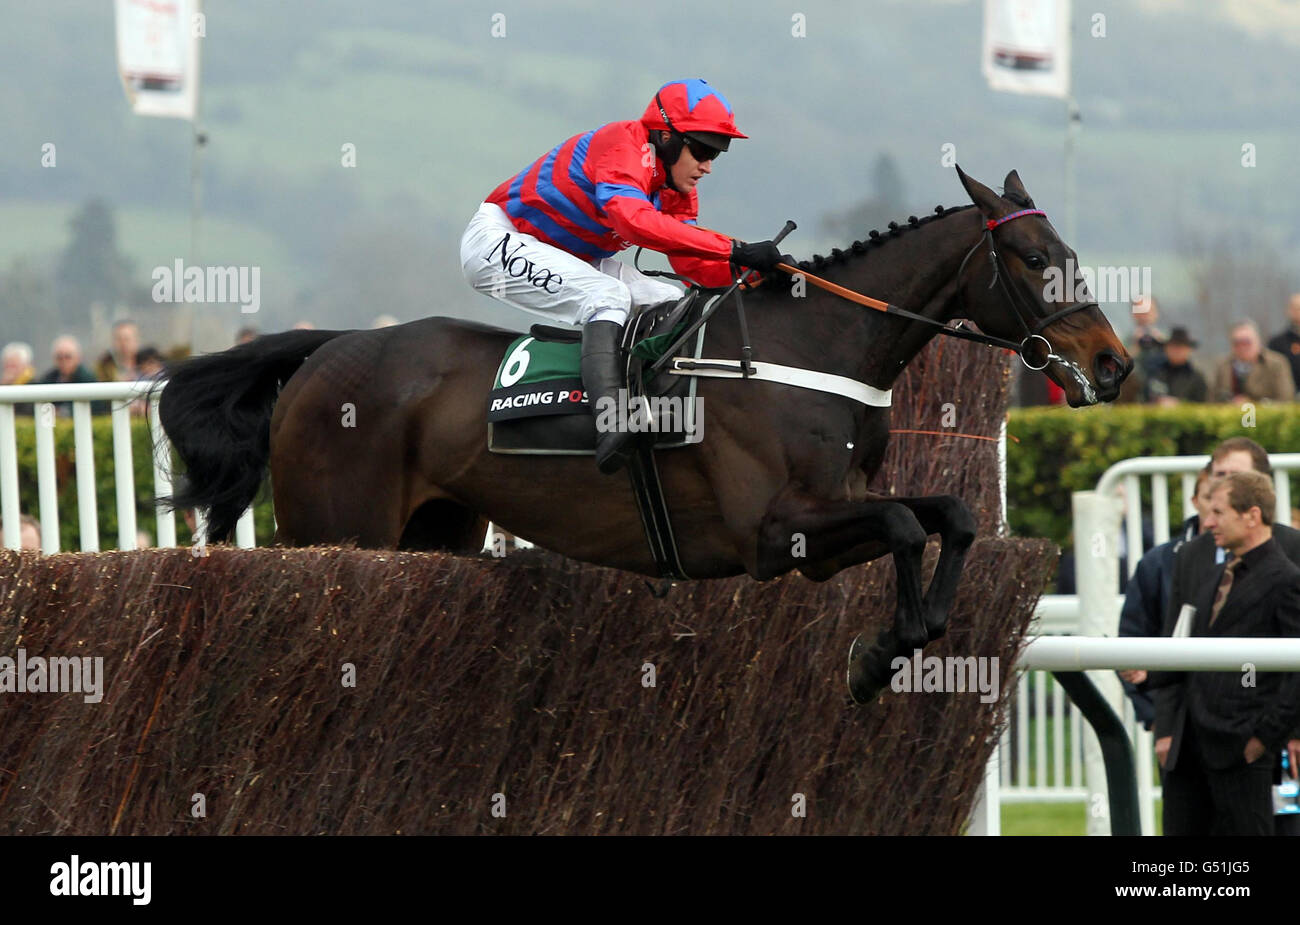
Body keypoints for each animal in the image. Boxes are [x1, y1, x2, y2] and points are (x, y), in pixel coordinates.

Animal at [162, 167, 1133, 701]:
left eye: (1072, 254)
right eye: (1035, 260)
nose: (1114, 362)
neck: (811, 347)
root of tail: (327, 348)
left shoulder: (834, 508)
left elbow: (952, 515)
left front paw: (909, 635)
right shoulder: (773, 532)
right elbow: (902, 523)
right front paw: (880, 650)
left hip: (436, 532)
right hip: (335, 529)